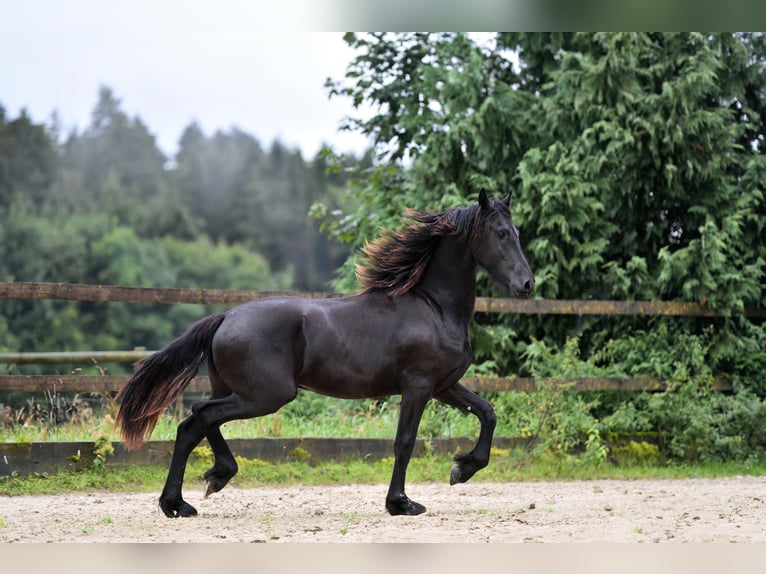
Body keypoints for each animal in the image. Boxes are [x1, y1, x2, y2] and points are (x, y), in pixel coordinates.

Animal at [117, 191, 536, 520]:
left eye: (516, 233)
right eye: (501, 234)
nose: (527, 285)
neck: (433, 307)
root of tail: (226, 317)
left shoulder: (444, 386)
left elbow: (487, 413)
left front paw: (462, 469)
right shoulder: (418, 386)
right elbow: (404, 442)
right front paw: (401, 503)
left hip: (236, 391)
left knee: (198, 422)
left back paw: (200, 489)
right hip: (266, 395)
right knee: (199, 418)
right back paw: (184, 498)